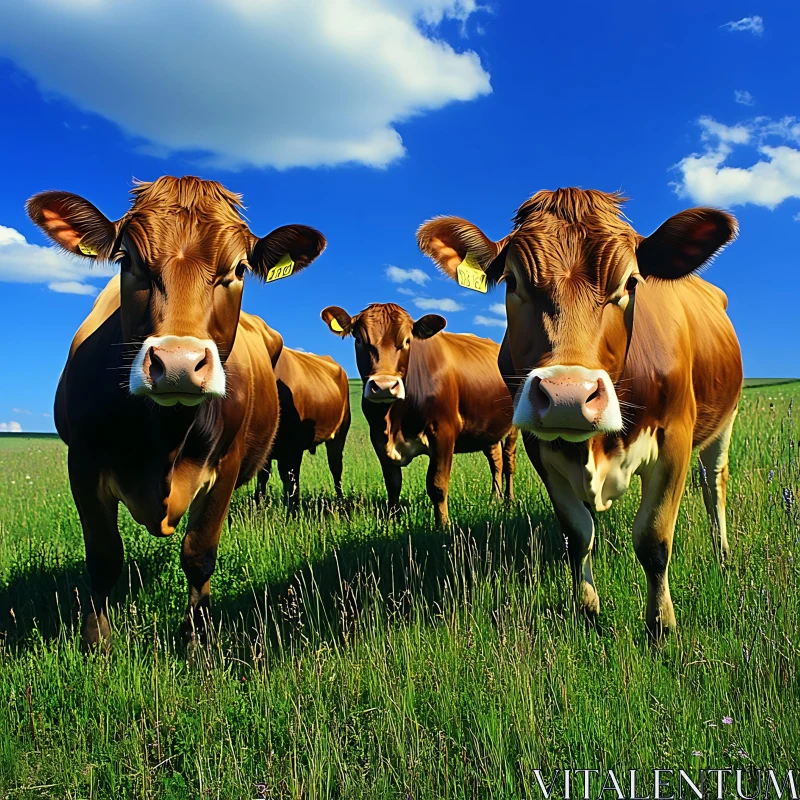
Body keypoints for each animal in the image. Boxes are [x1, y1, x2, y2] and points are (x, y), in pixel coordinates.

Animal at [27, 175, 328, 648]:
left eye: (238, 269)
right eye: (127, 259)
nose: (178, 364)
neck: (164, 439)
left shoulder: (226, 465)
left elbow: (199, 553)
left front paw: (196, 640)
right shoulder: (82, 462)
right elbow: (103, 556)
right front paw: (98, 643)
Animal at [252, 346, 348, 510]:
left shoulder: (293, 449)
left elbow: (290, 482)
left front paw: (292, 511)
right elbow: (262, 478)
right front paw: (258, 509)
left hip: (338, 435)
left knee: (336, 468)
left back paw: (340, 501)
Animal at [318, 304, 520, 528]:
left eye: (407, 341)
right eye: (360, 339)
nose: (384, 386)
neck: (393, 420)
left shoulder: (443, 432)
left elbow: (437, 484)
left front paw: (443, 525)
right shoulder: (378, 437)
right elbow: (393, 483)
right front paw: (392, 520)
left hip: (514, 425)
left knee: (508, 461)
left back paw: (509, 501)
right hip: (488, 428)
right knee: (496, 460)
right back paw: (495, 499)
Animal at [418, 189, 744, 636]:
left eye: (631, 282)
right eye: (512, 282)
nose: (567, 395)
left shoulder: (674, 438)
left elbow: (654, 539)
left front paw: (660, 625)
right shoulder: (541, 450)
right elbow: (577, 533)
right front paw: (588, 607)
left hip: (724, 420)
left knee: (714, 482)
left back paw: (722, 554)